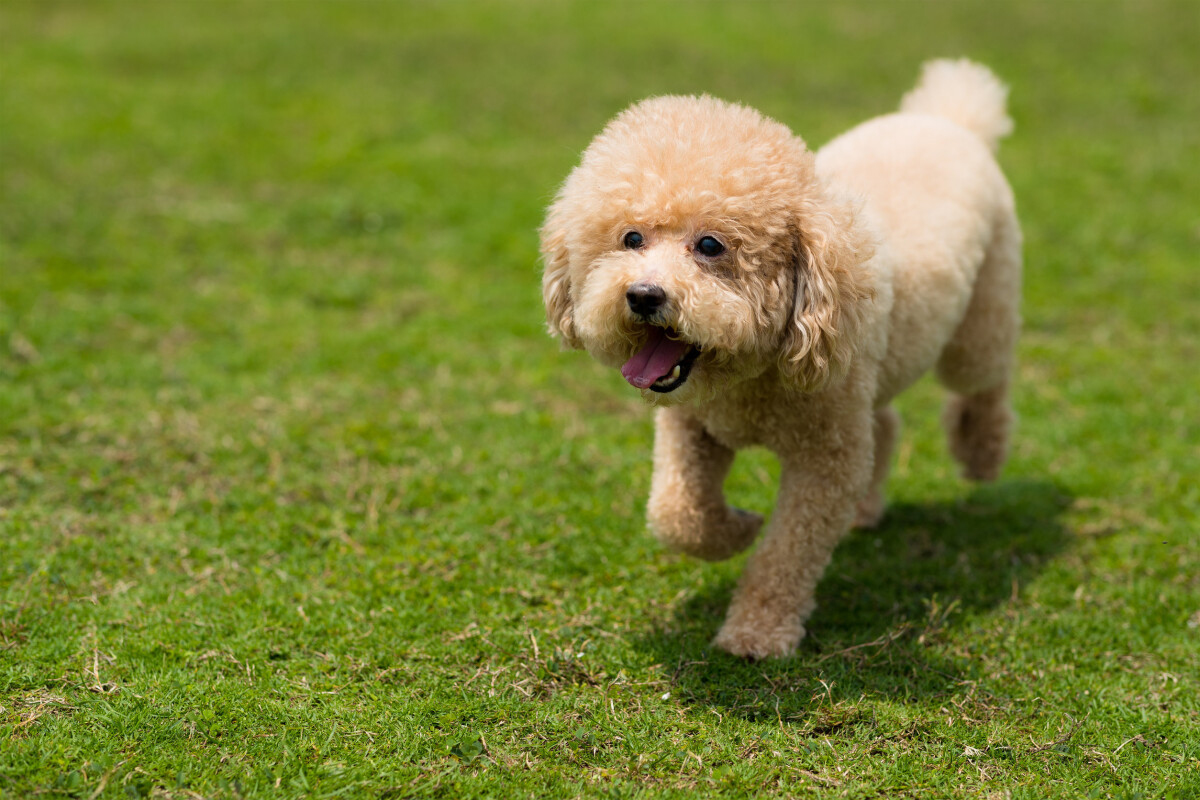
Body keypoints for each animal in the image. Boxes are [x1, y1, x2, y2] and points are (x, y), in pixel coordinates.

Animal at [544, 61, 1022, 657]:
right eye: (631, 238)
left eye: (710, 245)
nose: (644, 295)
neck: (749, 377)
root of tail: (947, 117)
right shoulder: (692, 425)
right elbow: (676, 515)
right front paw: (738, 527)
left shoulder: (825, 457)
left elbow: (786, 553)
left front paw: (756, 632)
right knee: (885, 422)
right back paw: (866, 509)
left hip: (981, 316)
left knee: (984, 380)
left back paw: (981, 453)